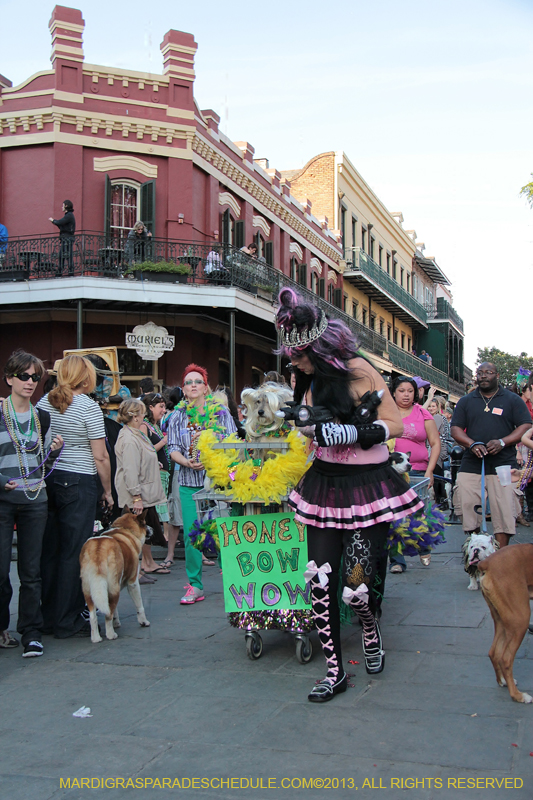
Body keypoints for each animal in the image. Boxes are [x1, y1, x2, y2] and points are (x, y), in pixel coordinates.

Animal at [79, 510, 150, 648]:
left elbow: (114, 608)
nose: (152, 529)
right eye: (144, 523)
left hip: (89, 590)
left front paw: (116, 622)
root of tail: (98, 549)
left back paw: (96, 638)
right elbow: (139, 605)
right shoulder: (133, 583)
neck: (125, 529)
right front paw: (143, 621)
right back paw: (111, 635)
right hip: (113, 587)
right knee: (107, 614)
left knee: (94, 616)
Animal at [476, 544, 532, 708]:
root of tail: (487, 562)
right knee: (506, 658)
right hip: (521, 619)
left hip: (502, 620)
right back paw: (518, 696)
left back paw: (503, 681)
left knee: (494, 652)